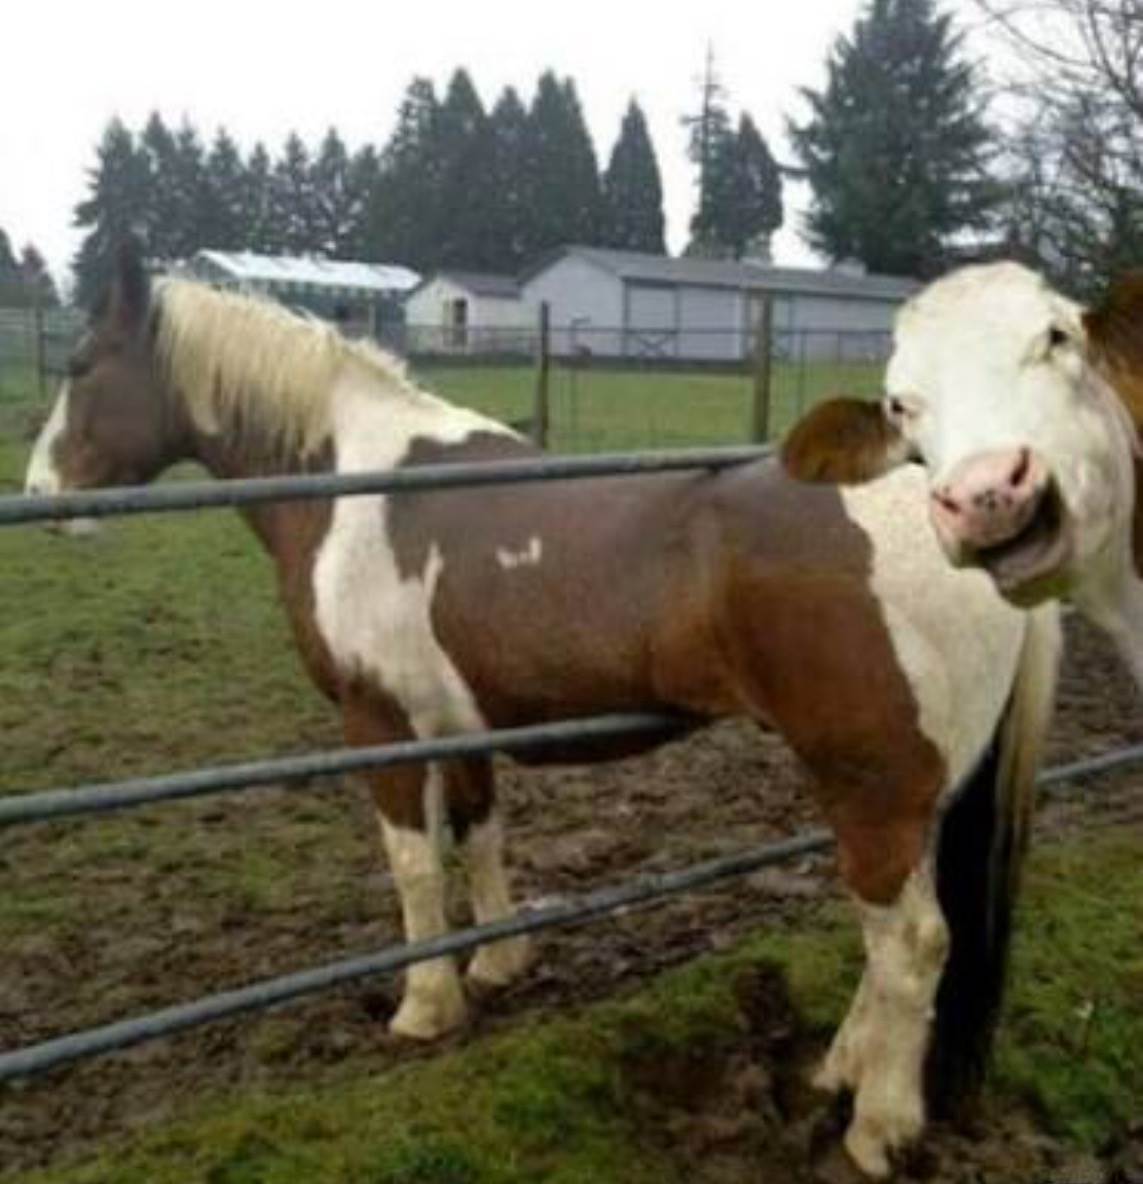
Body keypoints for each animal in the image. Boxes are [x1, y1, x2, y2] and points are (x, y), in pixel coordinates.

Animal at [25, 241, 1060, 1178]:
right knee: (890, 943)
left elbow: (413, 868)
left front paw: (424, 1007)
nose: (39, 497)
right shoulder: (463, 724)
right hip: (909, 793)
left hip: (872, 787)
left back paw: (877, 1130)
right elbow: (479, 836)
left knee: (911, 945)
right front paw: (497, 966)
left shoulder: (379, 727)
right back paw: (837, 1073)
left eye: (79, 366)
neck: (353, 485)